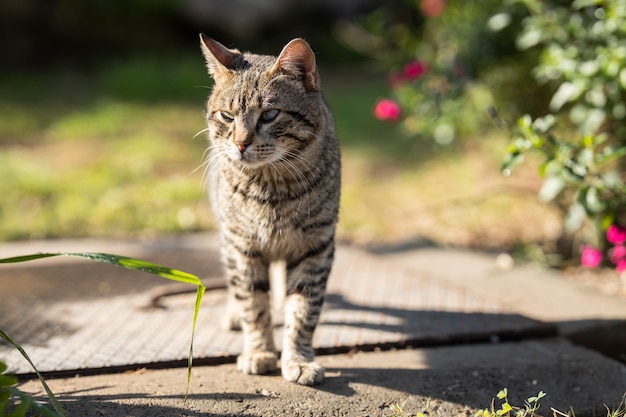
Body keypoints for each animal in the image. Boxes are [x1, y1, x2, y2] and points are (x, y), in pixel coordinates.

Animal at [197, 34, 338, 386]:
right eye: (227, 116)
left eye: (270, 115)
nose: (240, 144)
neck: (271, 191)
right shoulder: (243, 247)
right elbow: (254, 305)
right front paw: (259, 351)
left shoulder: (315, 248)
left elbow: (303, 311)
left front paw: (299, 359)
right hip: (227, 238)